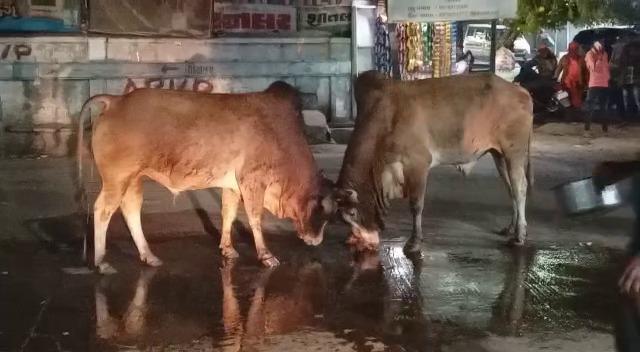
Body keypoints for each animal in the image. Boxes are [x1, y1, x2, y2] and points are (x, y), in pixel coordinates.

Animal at [78, 83, 338, 276]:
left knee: (130, 210)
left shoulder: (233, 186)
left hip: (134, 178)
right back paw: (101, 262)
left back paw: (149, 256)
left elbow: (228, 214)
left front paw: (228, 249)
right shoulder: (253, 181)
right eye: (324, 213)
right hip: (117, 178)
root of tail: (116, 100)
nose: (316, 241)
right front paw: (266, 256)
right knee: (102, 210)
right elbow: (255, 218)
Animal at [336, 71, 536, 253]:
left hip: (514, 152)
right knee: (510, 189)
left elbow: (416, 205)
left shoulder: (418, 164)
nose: (355, 241)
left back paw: (519, 236)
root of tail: (521, 90)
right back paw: (511, 228)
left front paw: (414, 242)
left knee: (520, 188)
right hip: (499, 155)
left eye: (352, 213)